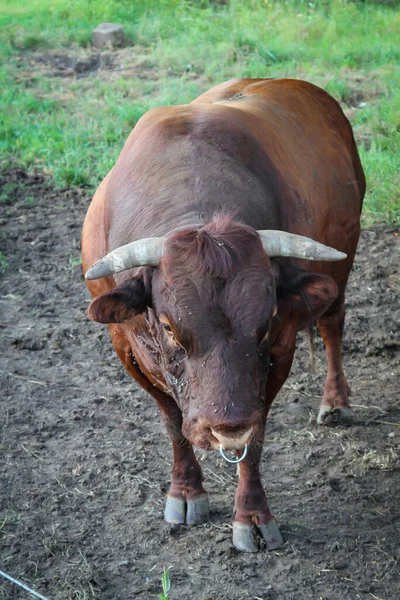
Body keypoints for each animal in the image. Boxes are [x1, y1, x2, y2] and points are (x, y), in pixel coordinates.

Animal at [82, 79, 366, 552]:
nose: (226, 427)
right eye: (168, 327)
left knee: (331, 325)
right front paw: (185, 492)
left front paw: (252, 516)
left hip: (340, 272)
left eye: (267, 319)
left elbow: (257, 436)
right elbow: (173, 422)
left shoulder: (280, 352)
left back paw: (335, 400)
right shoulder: (126, 348)